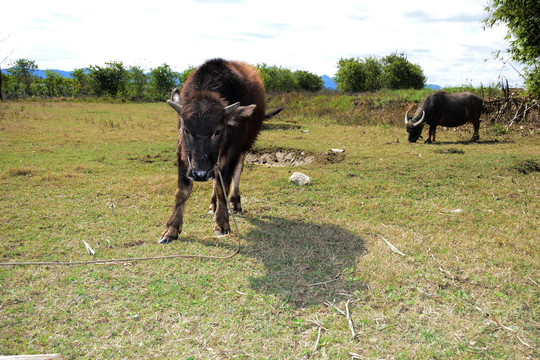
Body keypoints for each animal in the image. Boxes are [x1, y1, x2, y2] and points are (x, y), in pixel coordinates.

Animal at [158, 58, 280, 245]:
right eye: (186, 130)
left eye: (218, 131)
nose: (200, 174)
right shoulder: (183, 152)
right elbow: (182, 191)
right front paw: (171, 229)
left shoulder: (232, 150)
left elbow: (223, 186)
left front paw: (222, 223)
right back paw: (213, 203)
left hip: (244, 146)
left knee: (235, 173)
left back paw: (234, 202)